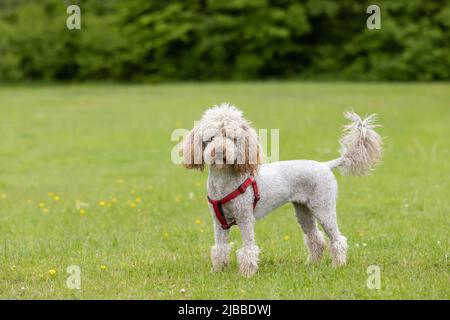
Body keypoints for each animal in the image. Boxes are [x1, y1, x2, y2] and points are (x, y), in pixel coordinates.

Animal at [181, 104, 382, 276]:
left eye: (233, 138)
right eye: (210, 138)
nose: (220, 151)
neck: (224, 181)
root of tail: (325, 165)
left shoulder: (245, 217)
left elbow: (248, 249)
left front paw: (247, 273)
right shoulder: (219, 221)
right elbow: (220, 248)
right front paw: (218, 271)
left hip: (324, 208)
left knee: (338, 239)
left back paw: (338, 265)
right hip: (303, 211)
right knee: (315, 239)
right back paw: (312, 264)